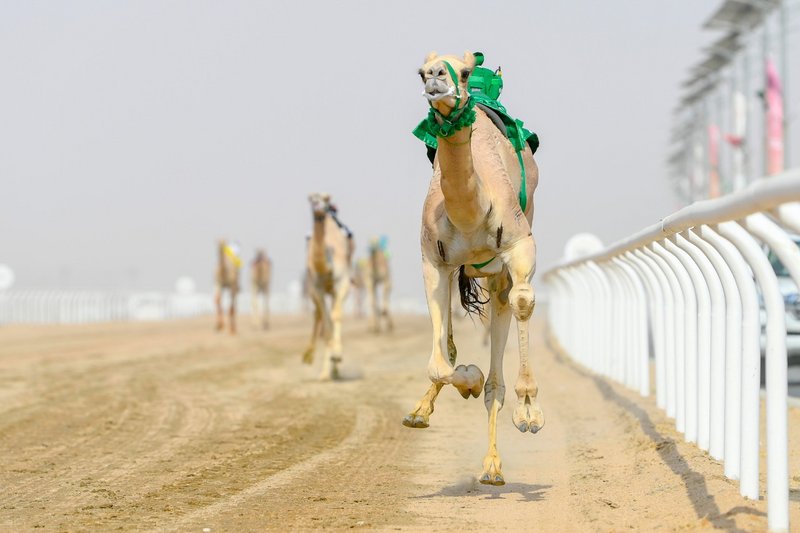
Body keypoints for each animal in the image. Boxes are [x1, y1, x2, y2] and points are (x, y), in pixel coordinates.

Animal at [304, 193, 354, 380]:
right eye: (311, 199)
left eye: (325, 199)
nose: (318, 207)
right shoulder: (316, 287)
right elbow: (326, 324)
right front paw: (326, 371)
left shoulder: (343, 282)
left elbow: (336, 316)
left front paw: (337, 355)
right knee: (318, 315)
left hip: (335, 290)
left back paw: (334, 369)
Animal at [404, 52, 540, 484]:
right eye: (421, 72)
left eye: (463, 73)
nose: (436, 77)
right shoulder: (434, 260)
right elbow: (438, 363)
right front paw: (468, 379)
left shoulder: (520, 244)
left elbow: (525, 302)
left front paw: (529, 412)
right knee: (448, 344)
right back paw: (422, 412)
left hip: (501, 270)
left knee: (508, 305)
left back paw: (494, 464)